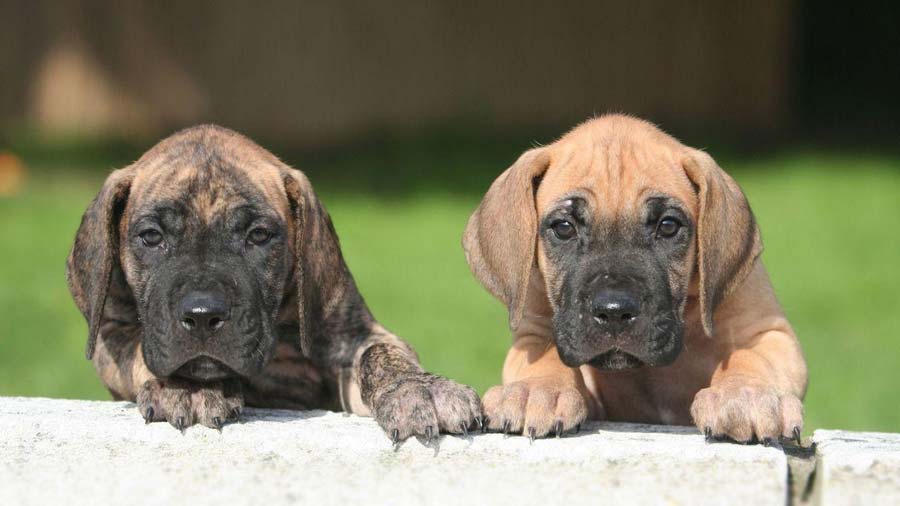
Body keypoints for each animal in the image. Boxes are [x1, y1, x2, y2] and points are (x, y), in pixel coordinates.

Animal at [67, 124, 482, 440]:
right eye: (152, 237)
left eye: (259, 236)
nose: (202, 315)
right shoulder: (110, 335)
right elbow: (139, 349)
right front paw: (190, 386)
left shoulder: (354, 334)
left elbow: (382, 355)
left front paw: (419, 388)